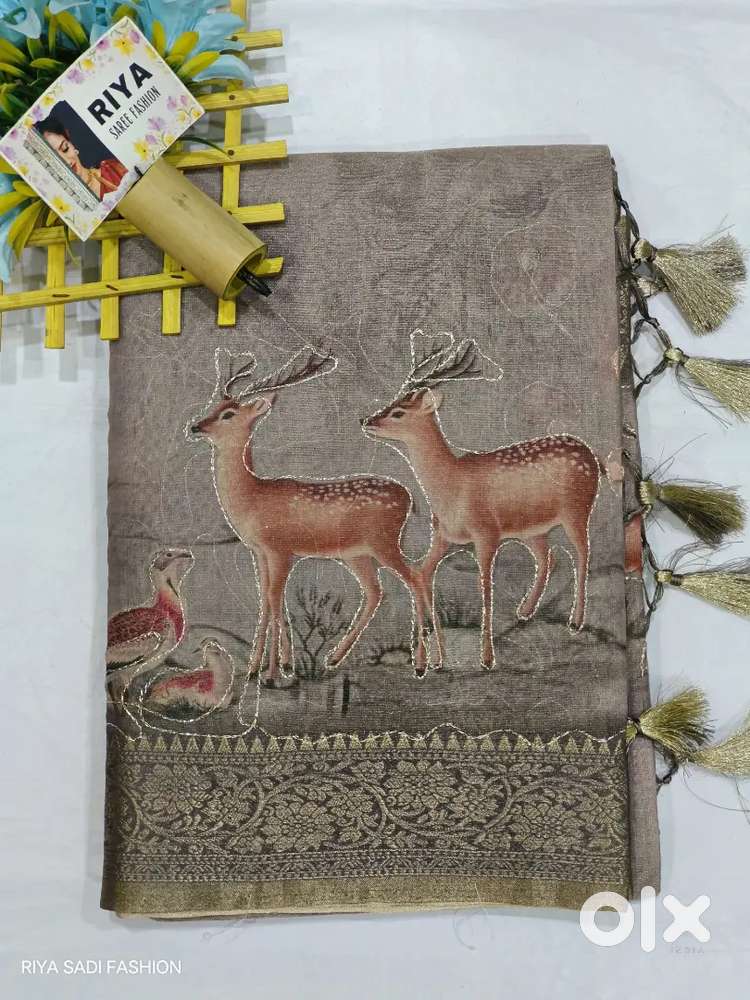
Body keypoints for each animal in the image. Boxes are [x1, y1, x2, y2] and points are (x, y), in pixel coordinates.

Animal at [189, 348, 433, 684]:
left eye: (229, 414)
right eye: (214, 405)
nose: (195, 427)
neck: (252, 498)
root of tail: (409, 497)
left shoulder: (279, 548)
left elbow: (275, 600)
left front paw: (272, 673)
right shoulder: (259, 552)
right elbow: (267, 601)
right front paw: (262, 669)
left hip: (384, 542)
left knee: (416, 578)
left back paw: (421, 665)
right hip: (357, 554)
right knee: (377, 591)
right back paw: (334, 658)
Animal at [362, 333, 603, 671]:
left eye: (399, 412)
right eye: (391, 402)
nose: (366, 420)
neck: (452, 490)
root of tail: (591, 455)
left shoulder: (486, 533)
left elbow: (485, 590)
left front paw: (486, 658)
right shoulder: (443, 535)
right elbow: (422, 573)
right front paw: (429, 657)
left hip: (577, 509)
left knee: (582, 555)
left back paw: (575, 621)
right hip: (533, 529)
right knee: (548, 557)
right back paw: (525, 611)